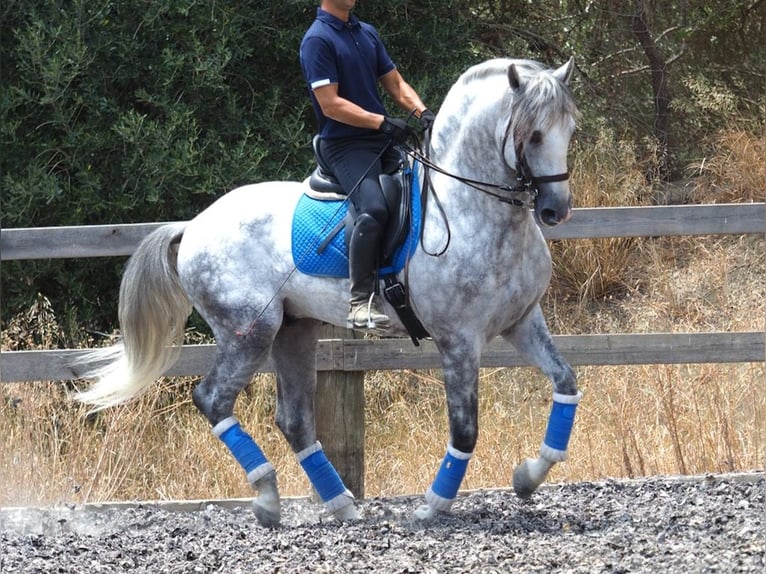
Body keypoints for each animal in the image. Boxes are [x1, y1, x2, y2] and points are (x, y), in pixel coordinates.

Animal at [76, 57, 584, 528]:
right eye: (534, 135)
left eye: (569, 130)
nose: (555, 211)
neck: (472, 211)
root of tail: (194, 224)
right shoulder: (458, 341)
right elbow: (464, 431)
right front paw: (432, 507)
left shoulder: (522, 322)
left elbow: (565, 382)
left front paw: (527, 477)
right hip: (251, 332)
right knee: (214, 400)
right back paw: (268, 497)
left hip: (294, 330)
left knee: (294, 419)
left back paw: (340, 504)